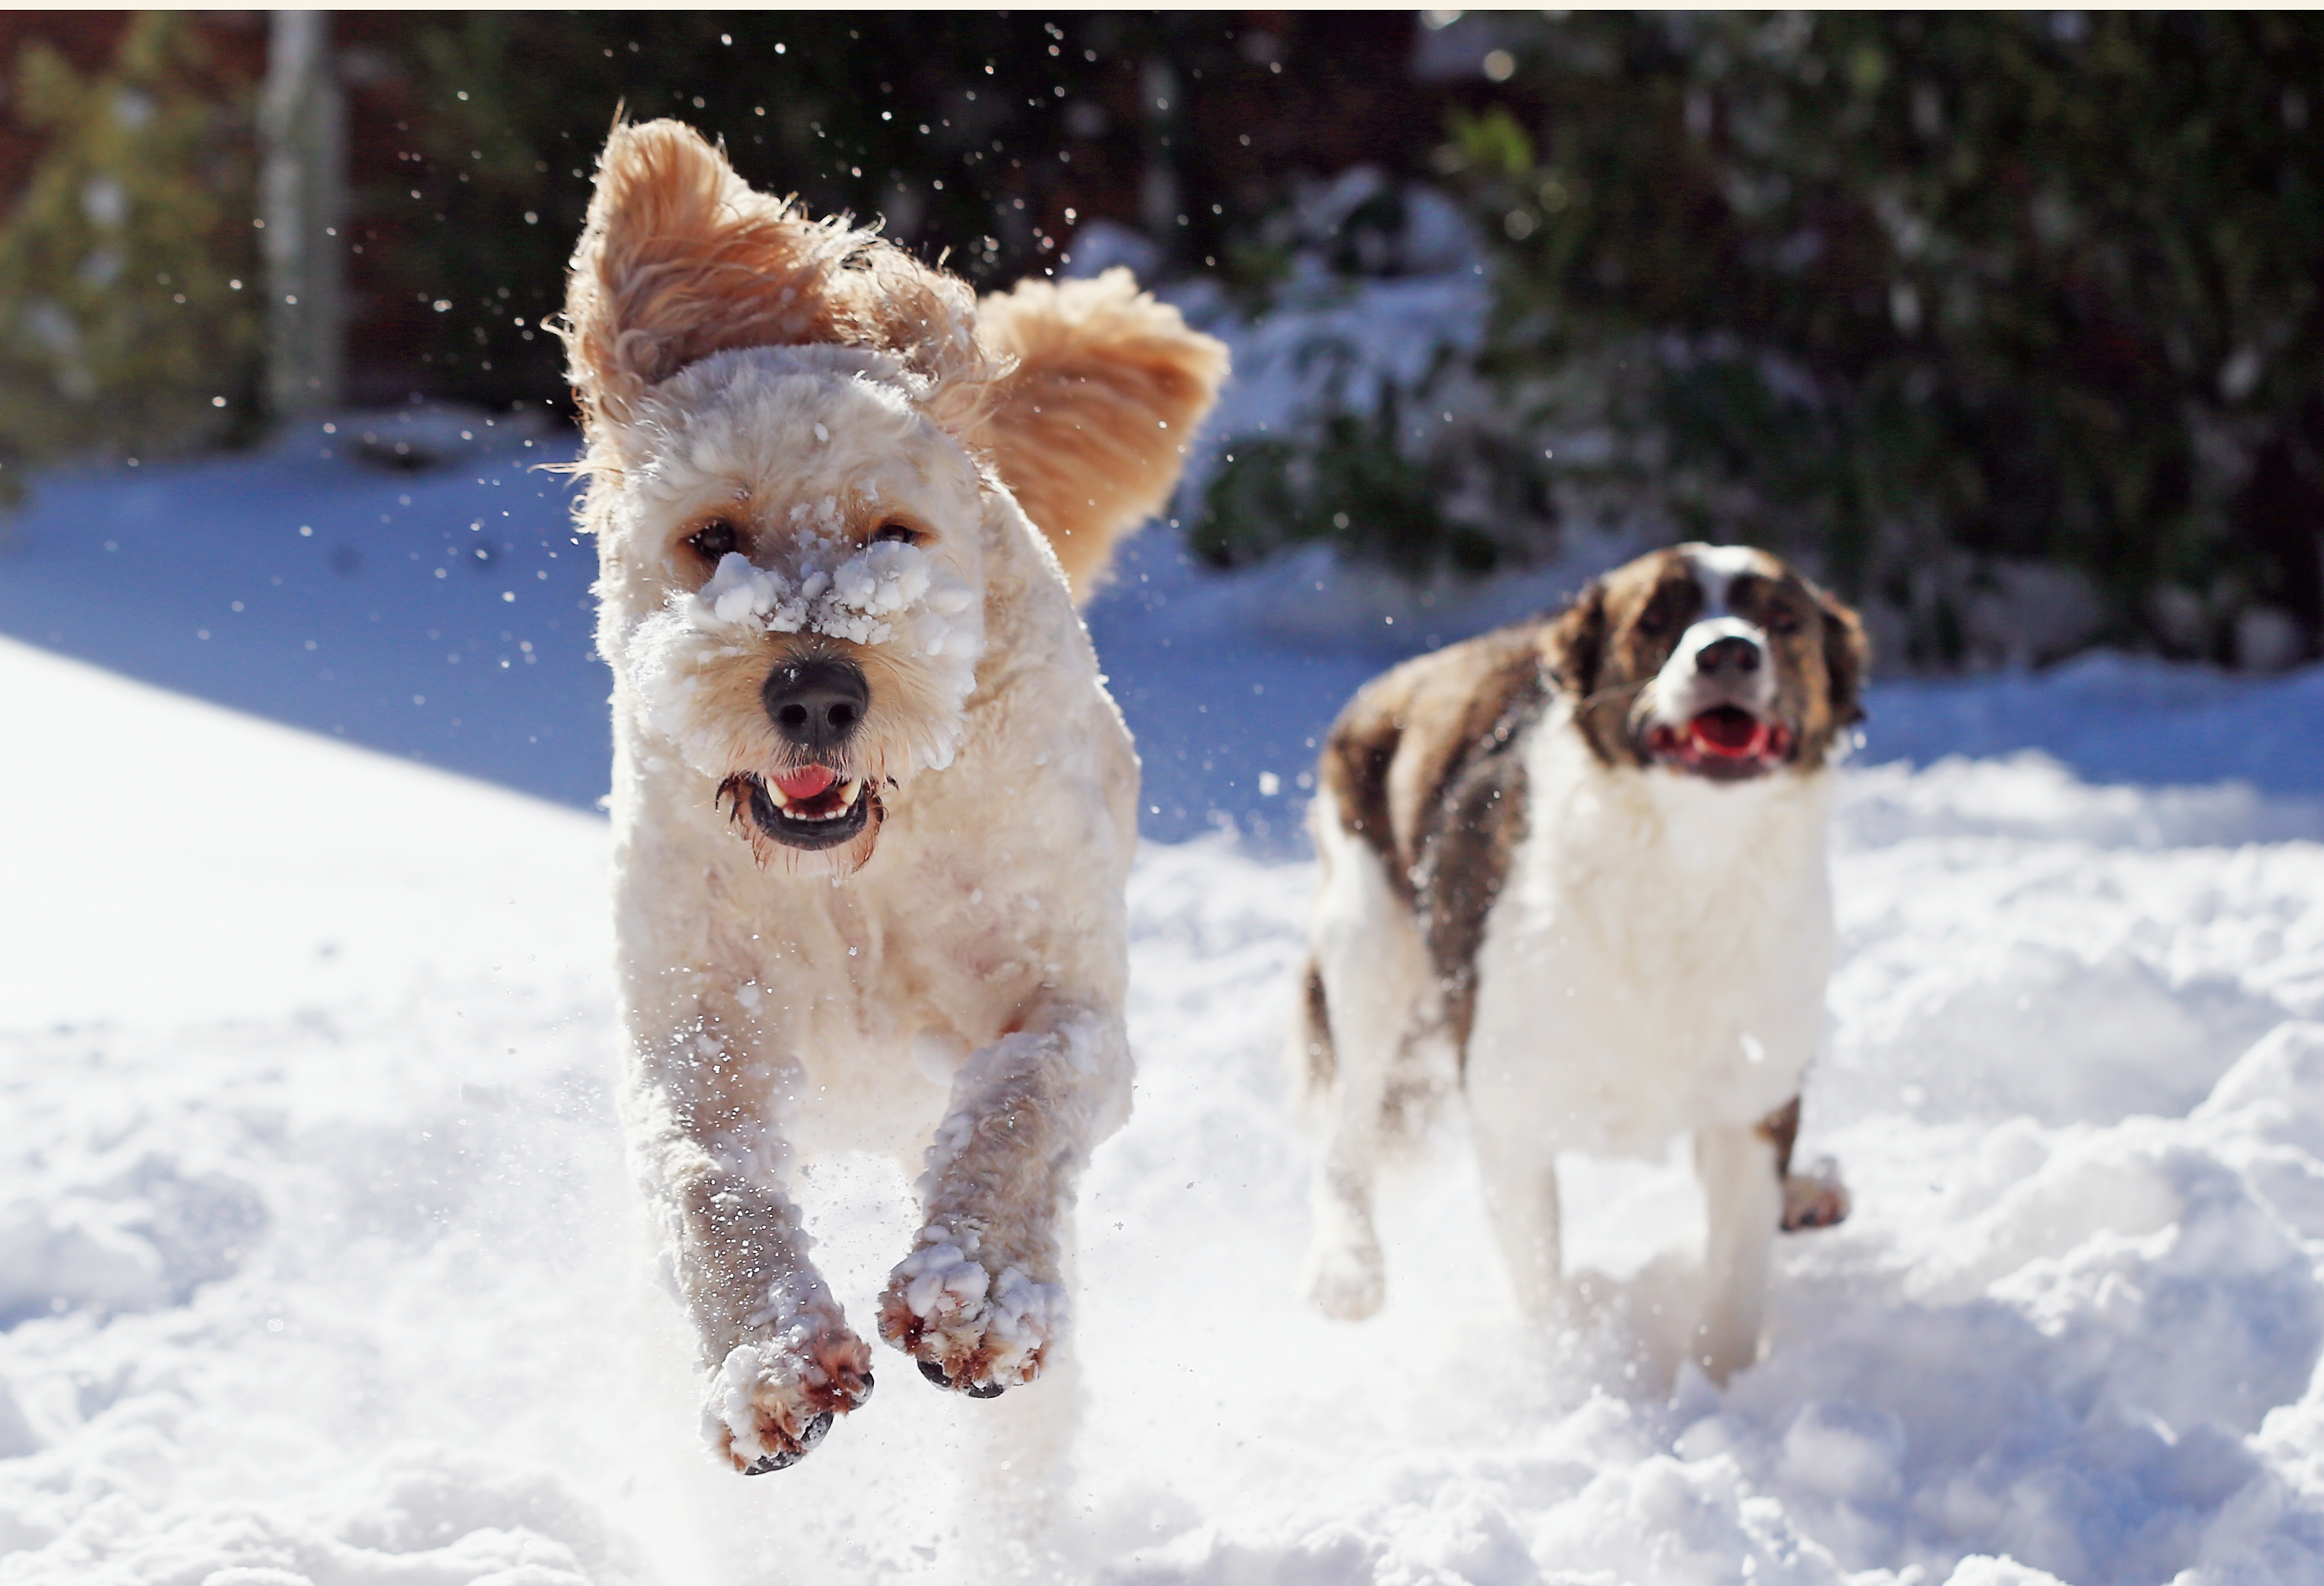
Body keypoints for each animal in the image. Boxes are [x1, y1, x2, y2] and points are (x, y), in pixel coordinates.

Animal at [560, 123, 1227, 1469]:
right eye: (713, 536)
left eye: (894, 533)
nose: (818, 689)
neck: (850, 880)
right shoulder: (696, 1031)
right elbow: (705, 1175)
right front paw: (769, 1366)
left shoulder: (1068, 998)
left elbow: (1022, 1099)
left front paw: (975, 1298)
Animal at [1310, 539, 1868, 1367]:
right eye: (1657, 618)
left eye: (1780, 618)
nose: (1728, 651)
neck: (1687, 860)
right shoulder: (1511, 1113)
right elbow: (1541, 1287)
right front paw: (1569, 1377)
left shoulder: (1750, 1102)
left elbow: (1732, 1292)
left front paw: (1719, 1391)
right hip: (1366, 939)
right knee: (1347, 1128)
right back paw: (1346, 1267)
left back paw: (1805, 1190)